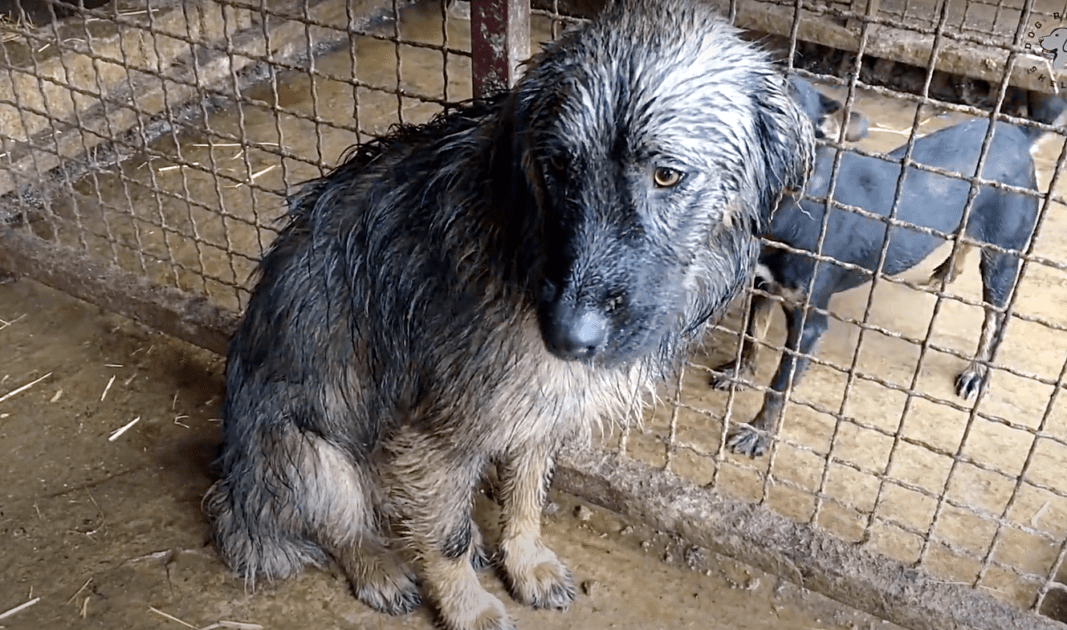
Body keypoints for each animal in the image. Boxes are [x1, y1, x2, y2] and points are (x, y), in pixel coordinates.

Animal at [203, 2, 810, 627]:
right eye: (559, 166)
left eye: (667, 174)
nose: (567, 338)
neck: (524, 234)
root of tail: (235, 493)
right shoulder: (432, 431)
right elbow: (443, 539)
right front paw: (467, 607)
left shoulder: (537, 412)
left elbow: (525, 499)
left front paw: (525, 563)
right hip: (313, 458)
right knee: (346, 530)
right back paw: (380, 571)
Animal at [708, 83, 1067, 459]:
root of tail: (1018, 135)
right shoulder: (763, 284)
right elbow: (752, 336)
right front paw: (740, 373)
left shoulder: (810, 322)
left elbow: (779, 385)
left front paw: (758, 433)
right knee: (966, 241)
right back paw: (945, 271)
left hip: (1003, 257)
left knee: (995, 320)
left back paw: (977, 372)